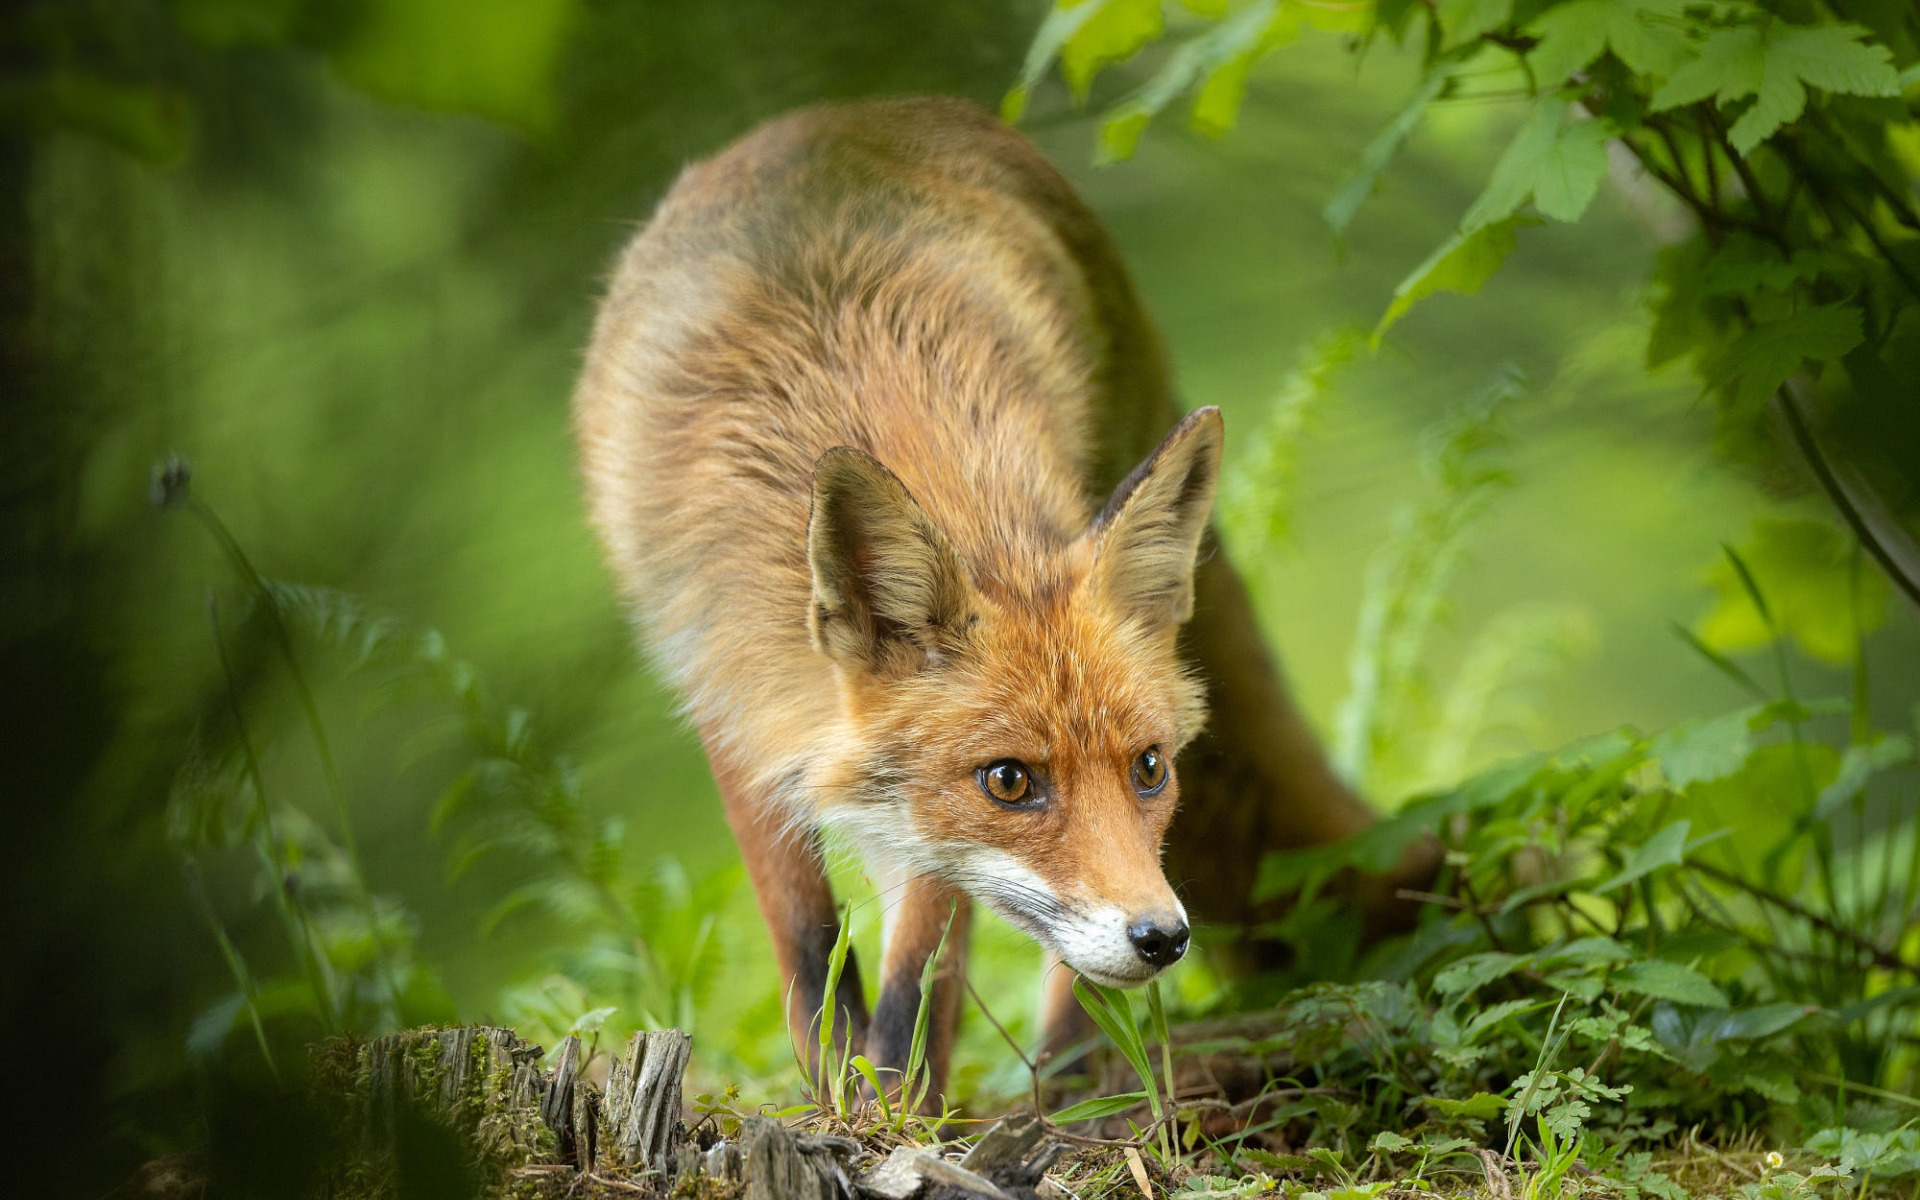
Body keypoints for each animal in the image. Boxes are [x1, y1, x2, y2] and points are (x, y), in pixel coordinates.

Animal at [572, 98, 1244, 1098]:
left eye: (1150, 768)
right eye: (1011, 781)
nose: (1163, 938)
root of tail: (860, 109)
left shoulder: (926, 825)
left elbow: (924, 960)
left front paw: (901, 1100)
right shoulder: (730, 694)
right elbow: (807, 946)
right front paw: (837, 1086)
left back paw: (1068, 1077)